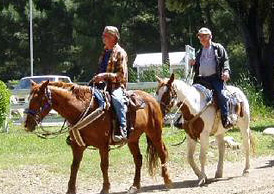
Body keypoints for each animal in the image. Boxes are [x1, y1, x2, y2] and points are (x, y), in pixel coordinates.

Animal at [25, 80, 171, 192]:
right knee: (138, 159)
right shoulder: (77, 146)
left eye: (38, 100)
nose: (27, 124)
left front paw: (105, 188)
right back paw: (135, 186)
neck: (82, 109)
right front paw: (70, 190)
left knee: (162, 153)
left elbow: (104, 165)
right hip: (133, 139)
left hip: (155, 133)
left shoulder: (103, 146)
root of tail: (151, 98)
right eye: (29, 99)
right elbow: (74, 166)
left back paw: (167, 181)